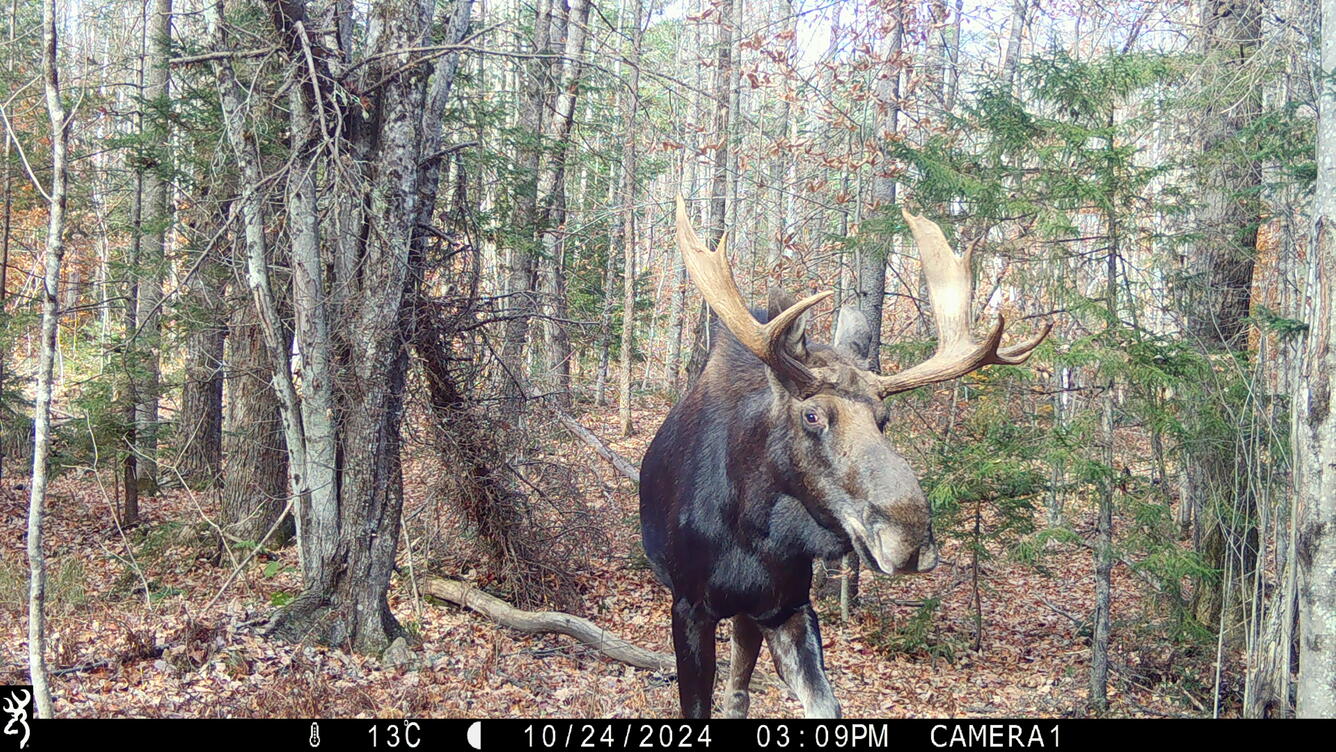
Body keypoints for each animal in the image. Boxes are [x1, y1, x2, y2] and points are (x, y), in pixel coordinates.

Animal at [638, 197, 1051, 718]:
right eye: (813, 415)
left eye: (884, 417)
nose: (911, 539)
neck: (753, 534)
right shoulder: (689, 608)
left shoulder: (788, 605)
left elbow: (823, 705)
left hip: (751, 615)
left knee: (738, 690)